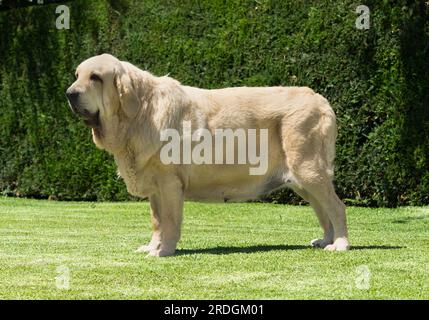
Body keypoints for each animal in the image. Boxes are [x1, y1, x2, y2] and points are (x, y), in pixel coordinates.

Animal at [66, 53, 348, 256]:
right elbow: (157, 222)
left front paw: (163, 251)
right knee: (322, 209)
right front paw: (152, 246)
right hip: (302, 180)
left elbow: (169, 222)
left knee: (336, 207)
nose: (69, 94)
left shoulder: (170, 184)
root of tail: (321, 100)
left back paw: (341, 244)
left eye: (95, 77)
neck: (139, 114)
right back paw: (326, 239)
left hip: (309, 169)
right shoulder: (155, 189)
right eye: (77, 75)